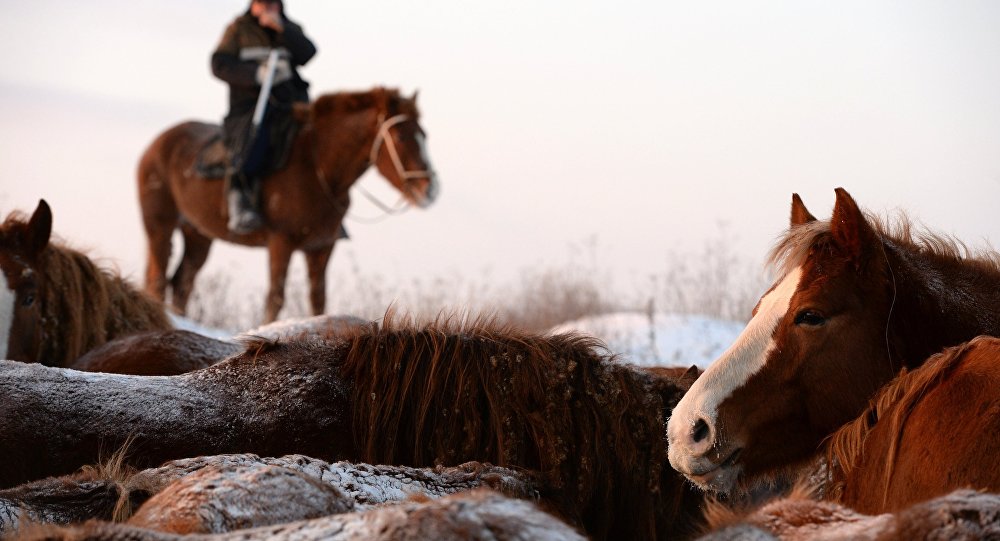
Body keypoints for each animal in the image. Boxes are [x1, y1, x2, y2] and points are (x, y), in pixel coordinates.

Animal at [139, 87, 440, 320]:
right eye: (401, 136)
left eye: (424, 134)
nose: (431, 189)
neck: (316, 167)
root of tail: (155, 145)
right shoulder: (280, 242)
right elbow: (275, 298)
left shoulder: (321, 247)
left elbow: (318, 300)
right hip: (159, 226)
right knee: (157, 279)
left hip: (198, 235)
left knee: (182, 282)